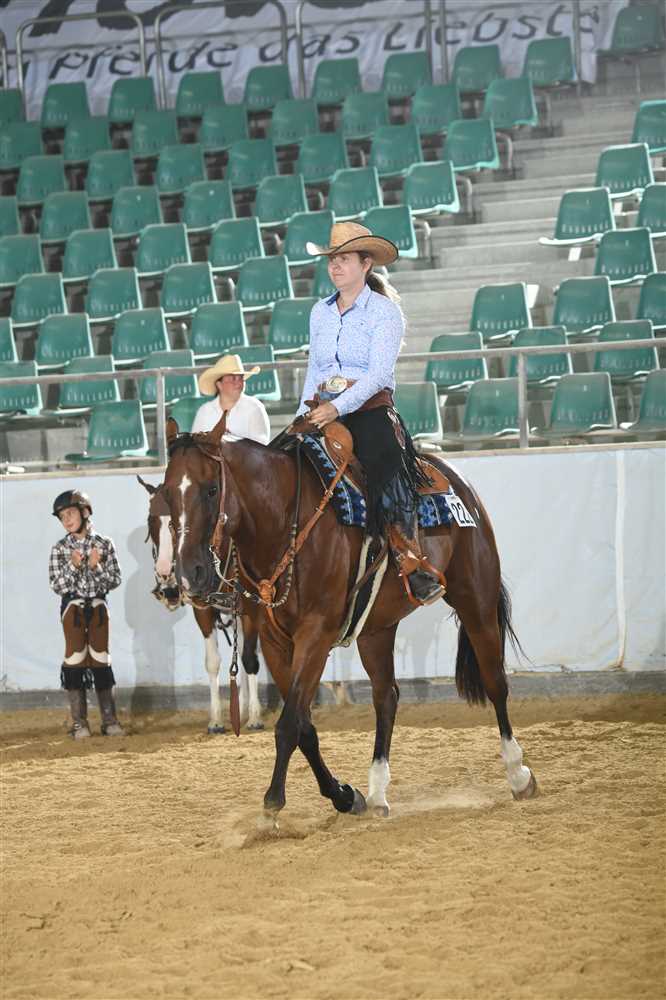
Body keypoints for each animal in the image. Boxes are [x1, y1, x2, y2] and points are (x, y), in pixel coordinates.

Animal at [137, 477, 264, 733]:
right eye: (150, 521)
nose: (166, 577)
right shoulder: (203, 610)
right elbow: (213, 662)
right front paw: (216, 720)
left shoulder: (251, 610)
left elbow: (249, 658)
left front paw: (256, 716)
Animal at [161, 413, 537, 822]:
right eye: (166, 493)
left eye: (212, 490)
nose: (189, 573)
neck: (284, 523)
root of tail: (454, 476)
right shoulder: (276, 642)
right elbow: (304, 727)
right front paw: (344, 795)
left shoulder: (316, 635)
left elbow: (289, 723)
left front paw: (272, 805)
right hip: (377, 628)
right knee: (386, 696)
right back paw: (377, 793)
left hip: (475, 596)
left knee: (495, 680)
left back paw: (518, 774)